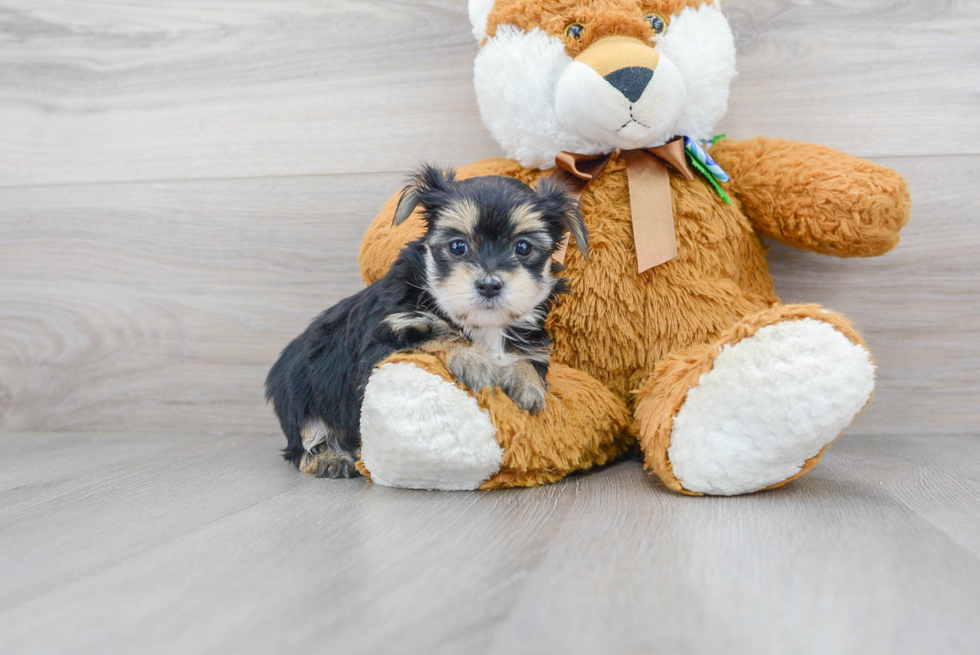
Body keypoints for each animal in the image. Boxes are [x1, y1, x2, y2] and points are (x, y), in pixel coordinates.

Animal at [264, 167, 588, 480]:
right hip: (301, 396)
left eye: (523, 248)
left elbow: (526, 359)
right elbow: (435, 335)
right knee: (306, 439)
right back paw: (330, 458)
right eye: (457, 246)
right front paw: (472, 358)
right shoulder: (384, 337)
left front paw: (526, 381)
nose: (489, 284)